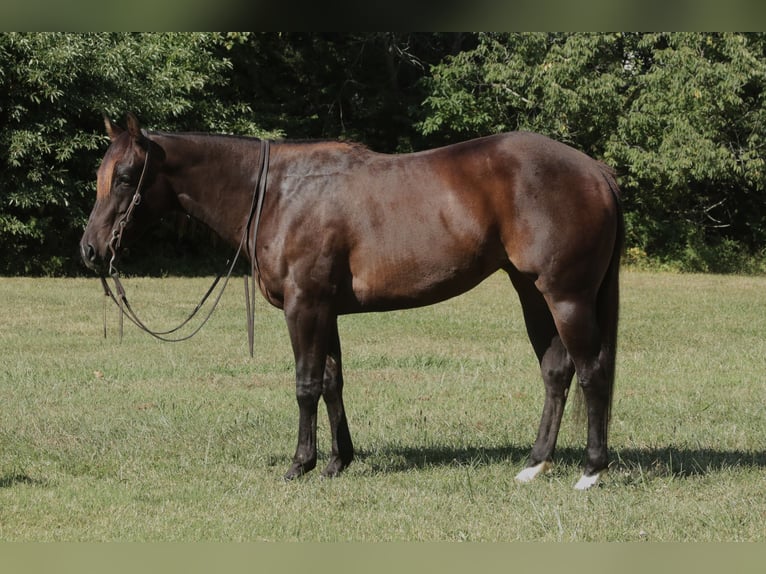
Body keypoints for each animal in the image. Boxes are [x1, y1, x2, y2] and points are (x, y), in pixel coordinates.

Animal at [80, 114, 623, 490]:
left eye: (126, 176)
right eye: (101, 175)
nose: (91, 249)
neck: (279, 194)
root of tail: (595, 170)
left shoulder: (304, 306)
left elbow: (305, 385)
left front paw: (300, 464)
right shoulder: (326, 310)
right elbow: (331, 382)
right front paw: (338, 461)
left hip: (566, 297)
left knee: (592, 372)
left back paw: (591, 471)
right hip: (532, 292)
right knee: (556, 372)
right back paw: (534, 465)